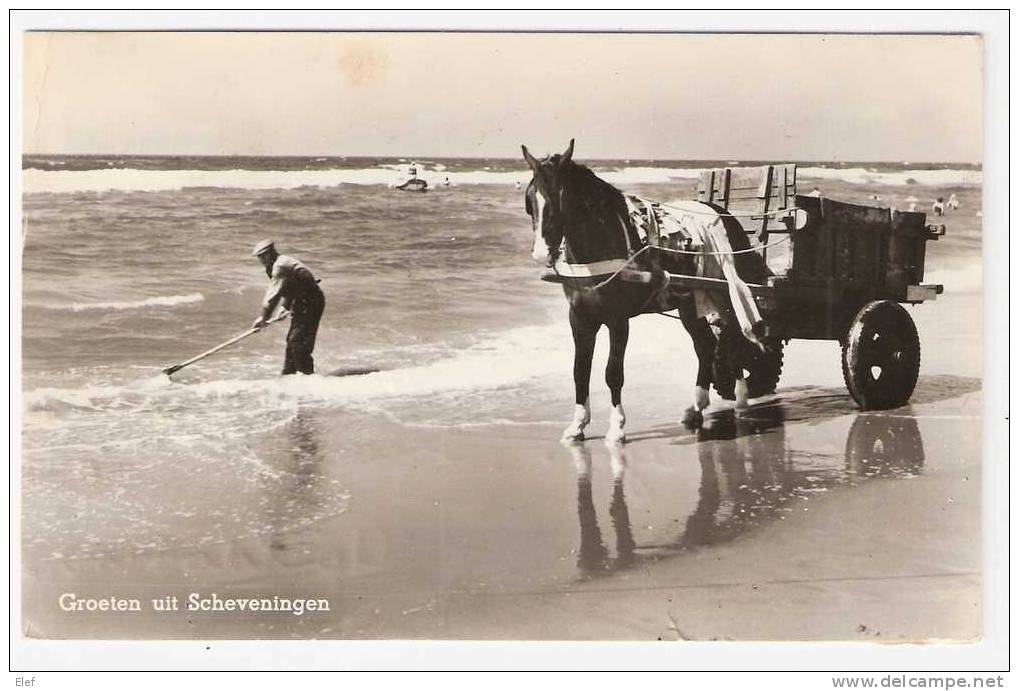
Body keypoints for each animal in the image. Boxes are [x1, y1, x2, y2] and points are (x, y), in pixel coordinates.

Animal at [525, 140, 770, 444]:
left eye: (560, 199)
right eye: (530, 201)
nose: (540, 254)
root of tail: (726, 216)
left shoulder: (618, 320)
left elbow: (613, 373)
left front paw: (617, 426)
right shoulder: (580, 319)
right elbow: (579, 371)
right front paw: (578, 424)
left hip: (725, 297)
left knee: (734, 340)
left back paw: (742, 400)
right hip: (690, 303)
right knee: (705, 346)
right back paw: (697, 406)